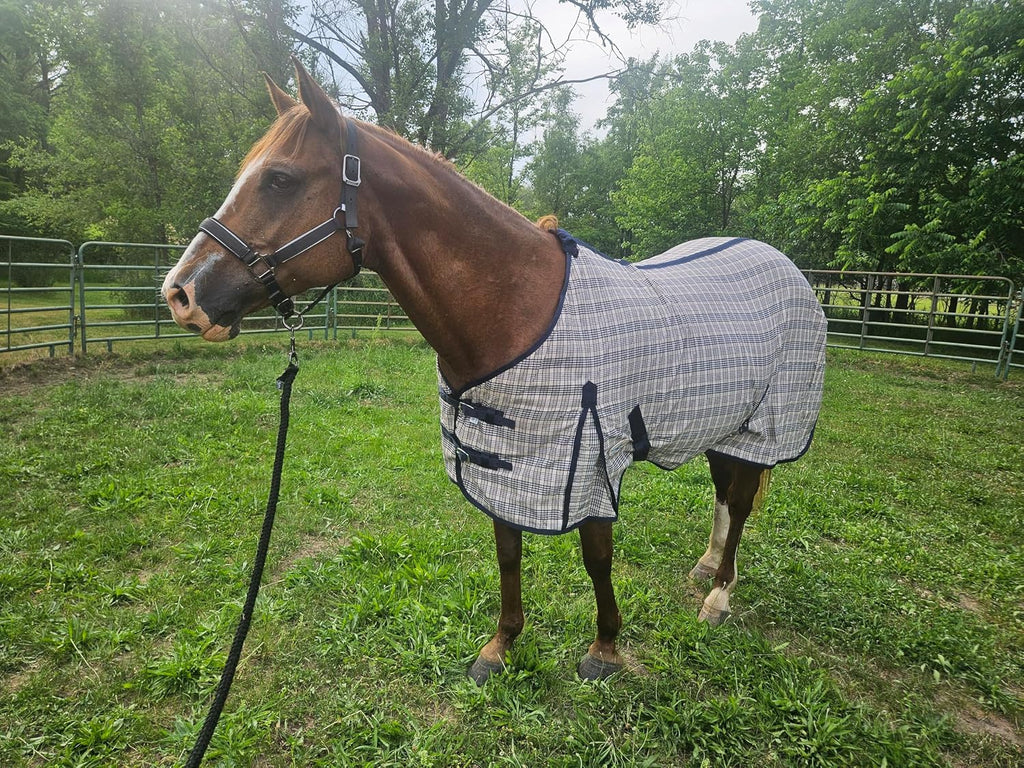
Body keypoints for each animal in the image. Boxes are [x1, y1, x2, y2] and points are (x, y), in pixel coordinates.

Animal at [163, 59, 826, 684]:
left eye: (280, 179)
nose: (180, 295)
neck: (514, 308)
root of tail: (784, 265)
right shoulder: (501, 461)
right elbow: (508, 552)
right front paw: (500, 646)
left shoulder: (587, 462)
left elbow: (597, 557)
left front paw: (605, 648)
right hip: (723, 422)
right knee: (725, 493)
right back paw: (709, 567)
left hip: (764, 424)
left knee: (741, 500)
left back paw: (718, 596)